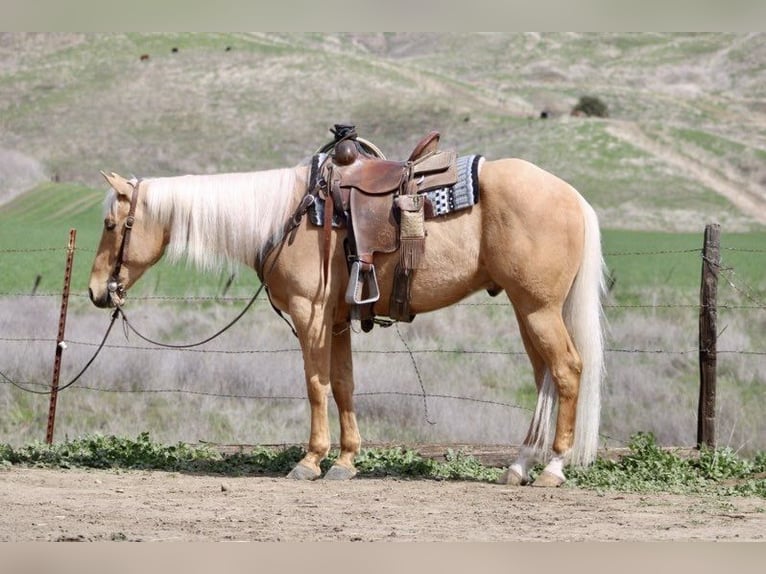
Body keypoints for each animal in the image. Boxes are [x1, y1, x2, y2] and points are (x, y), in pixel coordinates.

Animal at [88, 143, 605, 487]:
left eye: (111, 225)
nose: (96, 291)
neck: (287, 216)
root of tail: (572, 195)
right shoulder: (337, 322)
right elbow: (343, 385)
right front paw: (345, 461)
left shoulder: (310, 317)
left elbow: (316, 386)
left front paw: (310, 460)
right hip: (527, 311)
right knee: (544, 377)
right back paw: (520, 465)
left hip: (538, 309)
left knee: (566, 371)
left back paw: (553, 468)